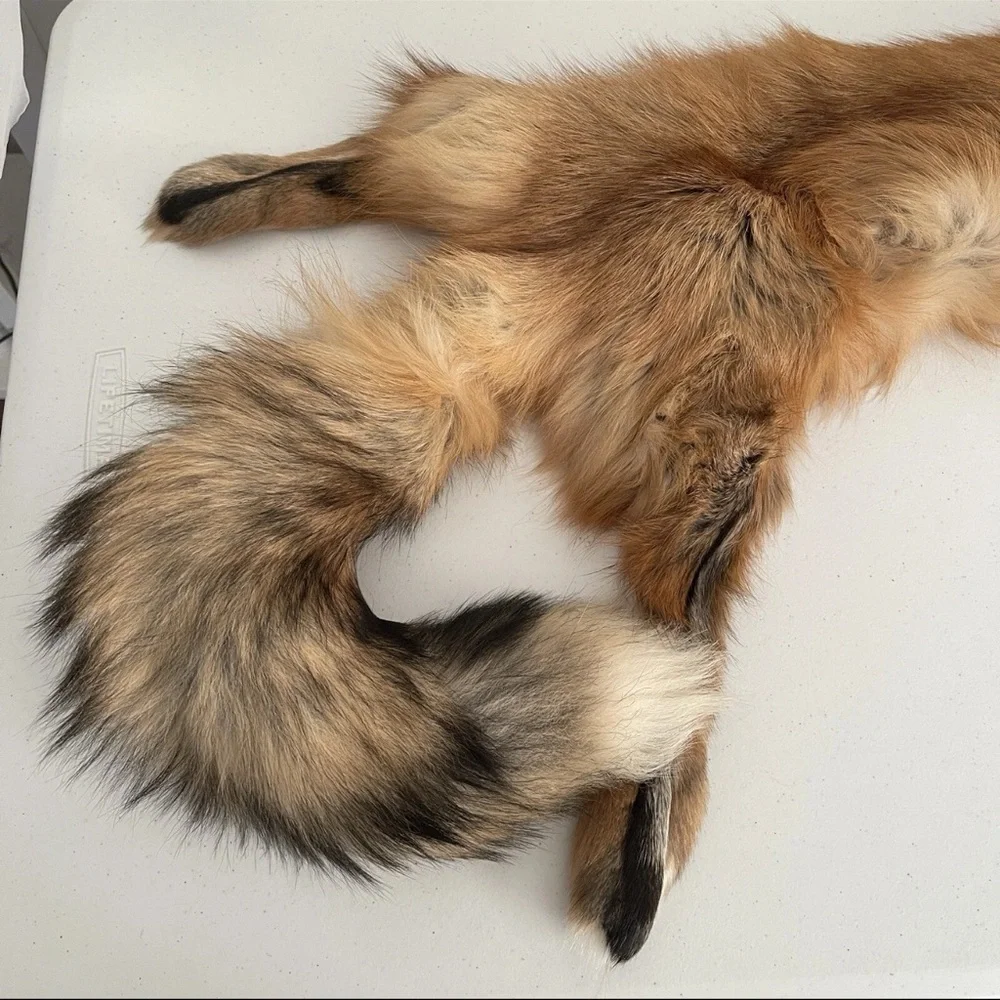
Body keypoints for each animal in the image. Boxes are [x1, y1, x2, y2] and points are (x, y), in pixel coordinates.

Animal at [38, 27, 1000, 964]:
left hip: (502, 167)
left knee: (366, 163)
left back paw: (199, 198)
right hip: (723, 461)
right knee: (685, 649)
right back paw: (637, 877)